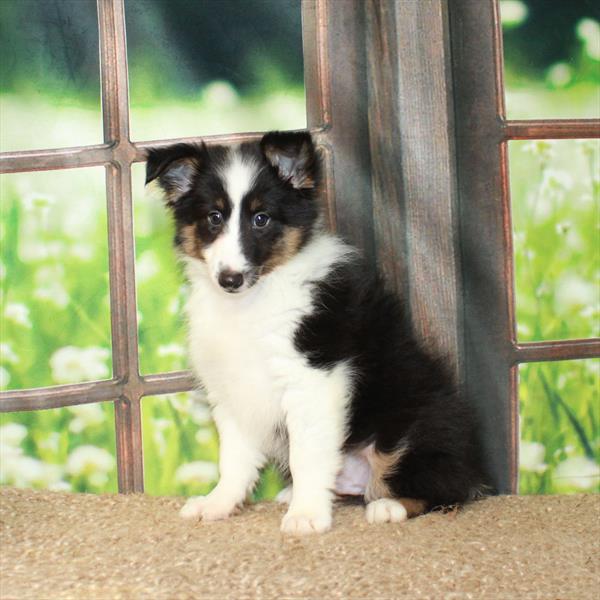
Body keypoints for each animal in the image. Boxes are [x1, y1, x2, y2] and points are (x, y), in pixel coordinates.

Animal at [146, 132, 488, 536]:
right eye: (213, 218)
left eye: (261, 219)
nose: (230, 279)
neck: (254, 301)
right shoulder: (232, 388)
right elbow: (234, 456)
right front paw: (218, 503)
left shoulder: (313, 378)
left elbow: (306, 454)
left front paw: (307, 515)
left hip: (417, 425)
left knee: (444, 488)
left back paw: (388, 506)